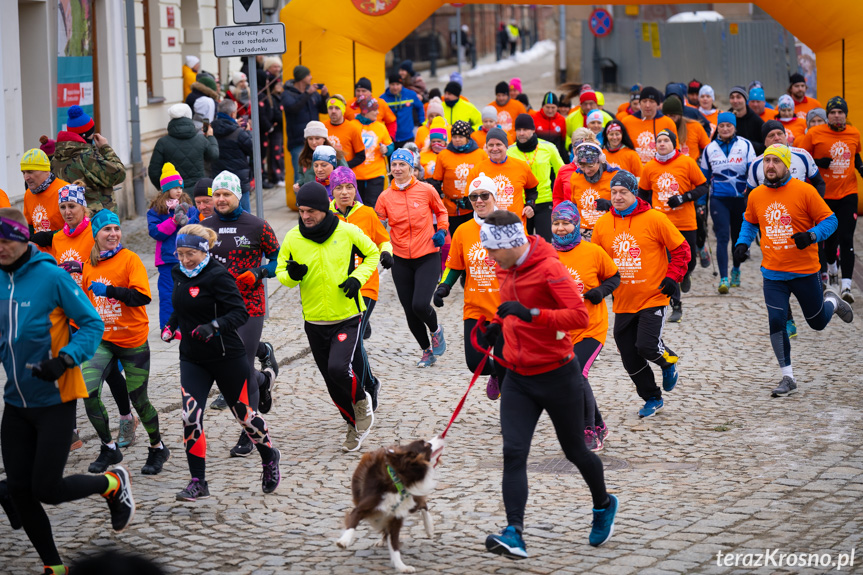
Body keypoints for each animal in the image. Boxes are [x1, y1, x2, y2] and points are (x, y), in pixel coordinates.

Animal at [338, 438, 446, 572]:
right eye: (426, 444)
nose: (441, 437)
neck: (398, 481)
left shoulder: (396, 518)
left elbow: (395, 547)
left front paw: (402, 566)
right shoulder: (362, 508)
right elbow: (352, 523)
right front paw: (344, 541)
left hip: (411, 503)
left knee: (423, 505)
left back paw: (429, 529)